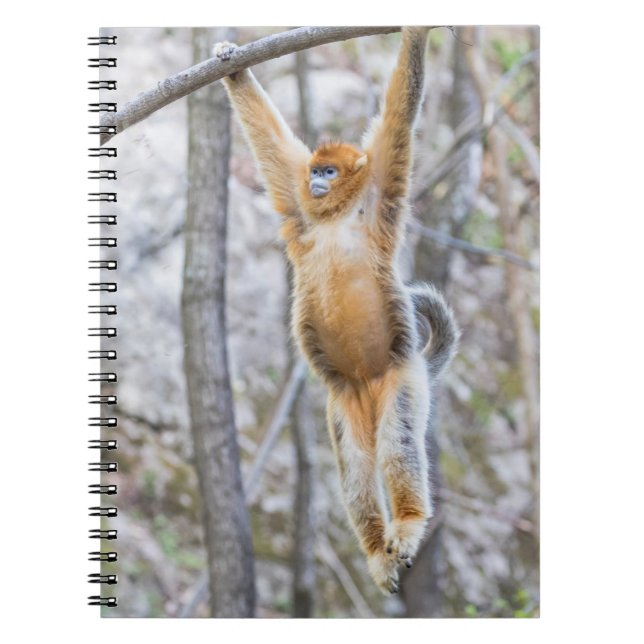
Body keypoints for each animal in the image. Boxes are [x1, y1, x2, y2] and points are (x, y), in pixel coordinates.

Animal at [214, 27, 458, 595]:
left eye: (331, 169)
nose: (319, 181)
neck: (335, 213)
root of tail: (368, 382)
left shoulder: (384, 177)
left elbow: (401, 110)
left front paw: (418, 32)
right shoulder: (299, 202)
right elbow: (271, 144)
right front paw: (232, 66)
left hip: (403, 377)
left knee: (397, 443)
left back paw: (407, 525)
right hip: (344, 400)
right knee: (355, 467)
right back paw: (376, 551)